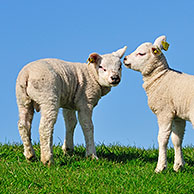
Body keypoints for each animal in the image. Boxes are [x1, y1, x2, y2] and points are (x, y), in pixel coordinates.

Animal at [123, 35, 193, 173]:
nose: (125, 58)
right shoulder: (178, 115)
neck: (160, 77)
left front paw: (160, 167)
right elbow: (177, 140)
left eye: (141, 53)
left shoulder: (164, 112)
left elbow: (162, 139)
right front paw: (178, 165)